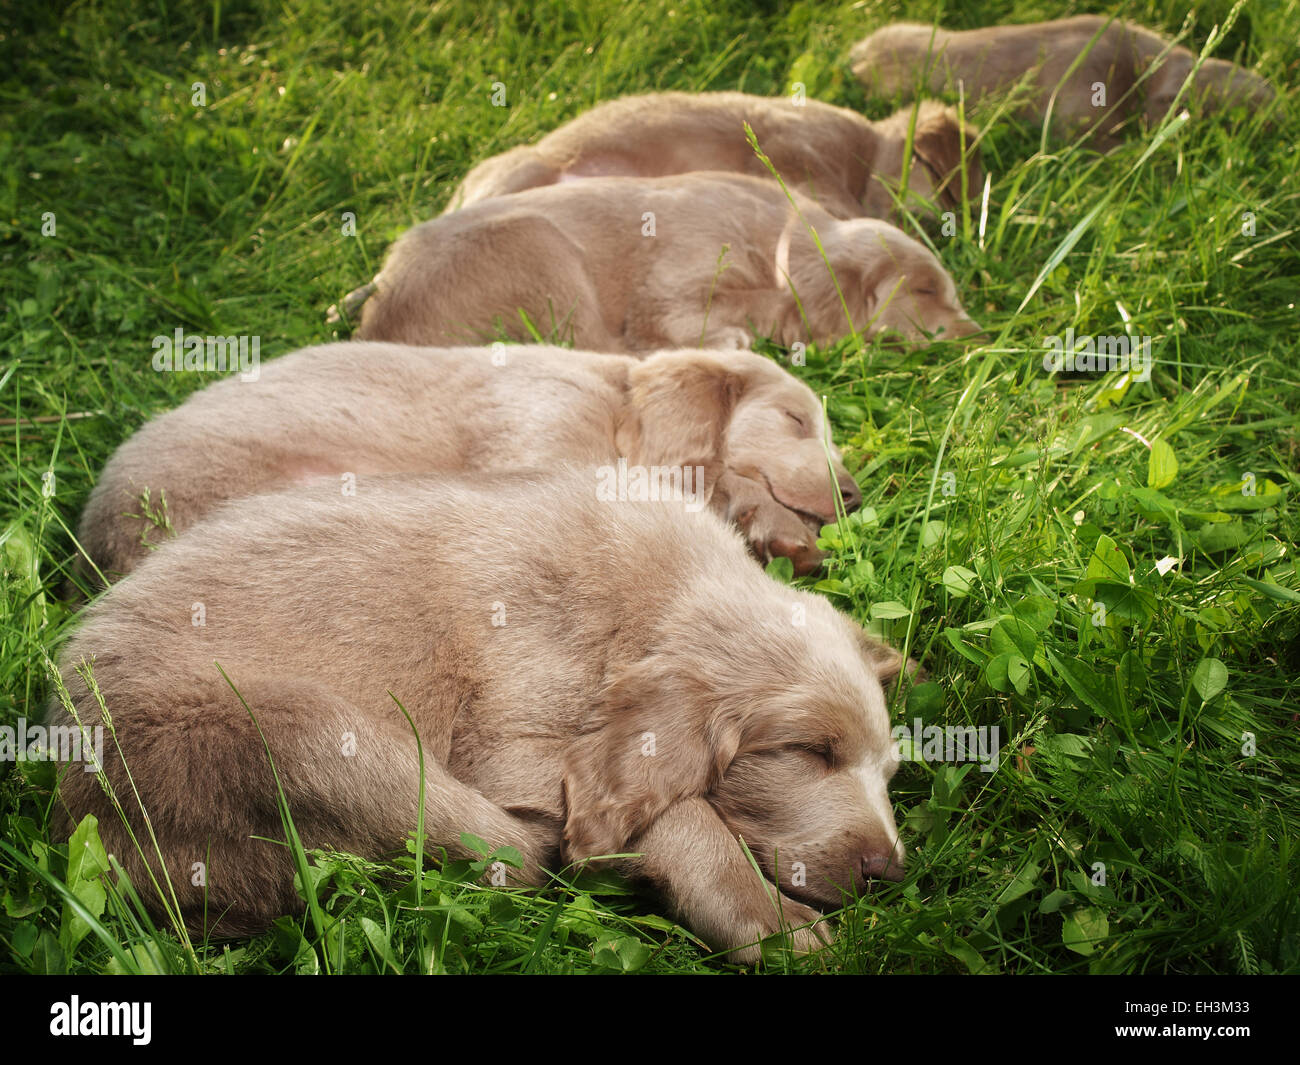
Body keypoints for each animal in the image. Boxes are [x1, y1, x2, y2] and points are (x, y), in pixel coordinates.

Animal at [53, 470, 915, 962]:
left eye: (887, 771)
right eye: (809, 750)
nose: (891, 872)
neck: (647, 602)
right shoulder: (513, 743)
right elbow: (685, 814)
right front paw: (775, 924)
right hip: (302, 731)